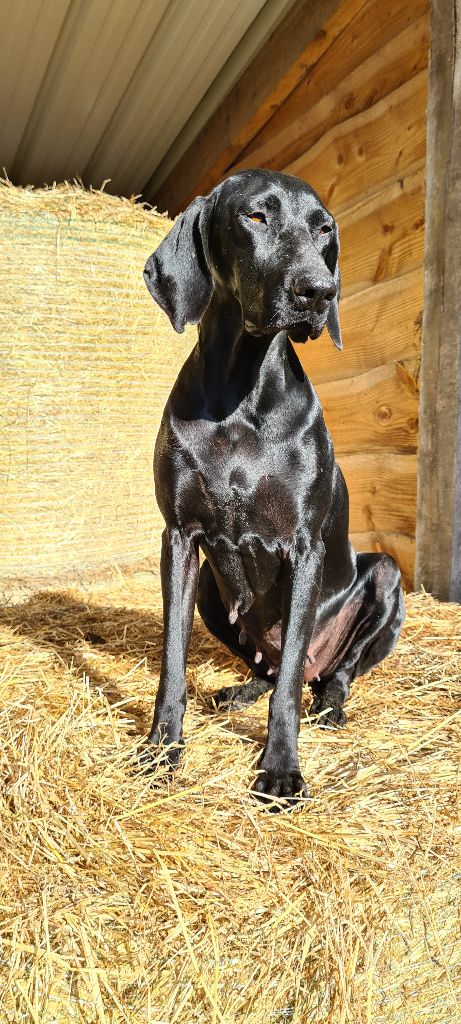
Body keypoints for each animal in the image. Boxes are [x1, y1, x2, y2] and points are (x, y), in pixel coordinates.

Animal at [143, 167, 403, 806]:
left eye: (324, 229)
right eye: (255, 217)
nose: (319, 291)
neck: (241, 393)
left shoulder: (305, 546)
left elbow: (287, 689)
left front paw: (281, 767)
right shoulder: (179, 538)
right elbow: (173, 659)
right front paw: (163, 747)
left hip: (385, 578)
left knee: (320, 672)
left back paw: (329, 704)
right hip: (213, 593)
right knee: (266, 666)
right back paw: (237, 691)